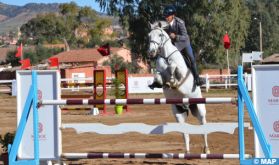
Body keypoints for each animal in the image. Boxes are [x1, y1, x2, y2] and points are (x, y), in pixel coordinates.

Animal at [149, 21, 210, 153]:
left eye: (160, 35)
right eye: (149, 35)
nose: (151, 52)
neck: (166, 56)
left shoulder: (181, 71)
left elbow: (173, 67)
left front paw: (172, 81)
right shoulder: (159, 72)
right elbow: (158, 75)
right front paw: (164, 83)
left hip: (199, 108)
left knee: (203, 126)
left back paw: (206, 150)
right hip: (178, 113)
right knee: (184, 133)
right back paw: (187, 152)